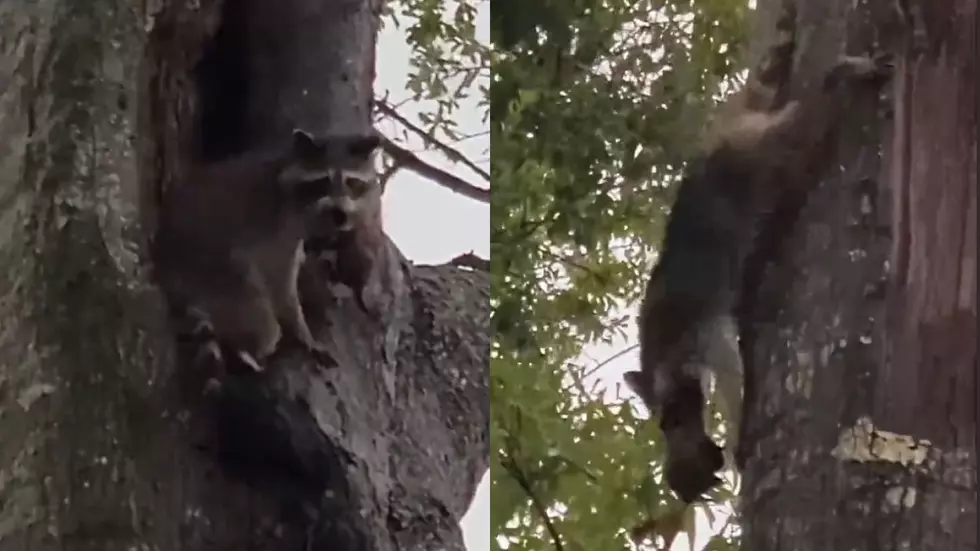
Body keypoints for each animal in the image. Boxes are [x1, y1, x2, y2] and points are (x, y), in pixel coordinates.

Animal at [154, 129, 382, 370]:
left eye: (352, 183)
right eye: (323, 181)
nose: (339, 214)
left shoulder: (289, 239)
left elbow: (284, 280)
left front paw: (301, 331)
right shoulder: (264, 216)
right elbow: (264, 274)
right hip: (201, 260)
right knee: (254, 312)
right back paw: (244, 350)